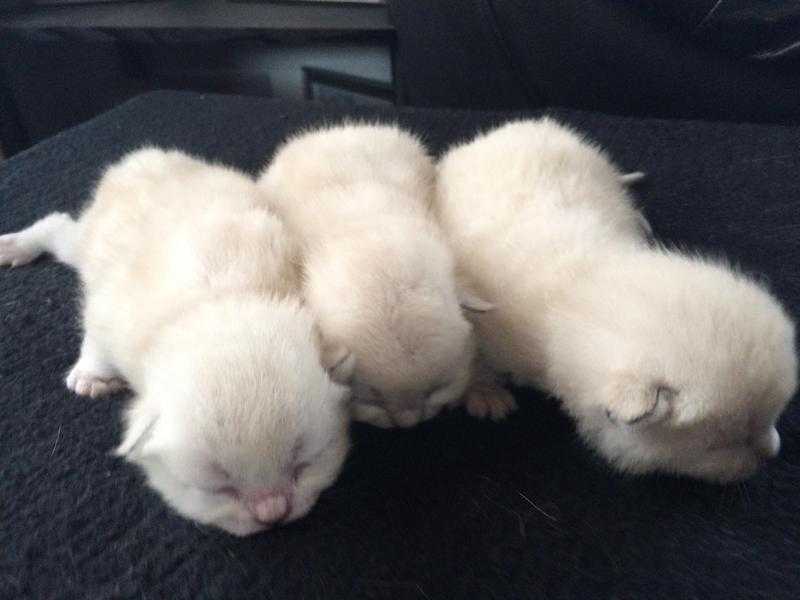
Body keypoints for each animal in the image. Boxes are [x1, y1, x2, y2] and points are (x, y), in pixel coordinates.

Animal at [0, 149, 350, 536]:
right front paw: (92, 375)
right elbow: (94, 339)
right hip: (89, 241)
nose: (272, 513)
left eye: (303, 464)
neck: (220, 301)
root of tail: (144, 158)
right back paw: (16, 245)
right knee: (59, 227)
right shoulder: (110, 311)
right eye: (221, 487)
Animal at [260, 124, 516, 428]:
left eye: (437, 390)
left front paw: (485, 388)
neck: (373, 233)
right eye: (373, 400)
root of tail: (338, 130)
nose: (409, 423)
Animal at [434, 119, 796, 486]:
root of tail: (515, 128)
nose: (772, 453)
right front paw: (486, 392)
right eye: (727, 443)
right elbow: (475, 357)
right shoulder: (478, 315)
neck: (587, 288)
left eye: (770, 419)